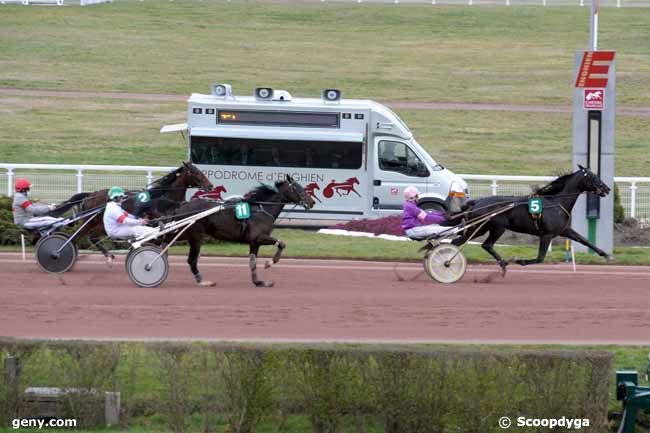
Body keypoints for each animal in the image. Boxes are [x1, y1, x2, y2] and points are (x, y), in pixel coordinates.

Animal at [161, 176, 314, 286]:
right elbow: (281, 243)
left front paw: (259, 282)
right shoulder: (259, 237)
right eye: (297, 188)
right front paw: (269, 263)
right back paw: (202, 281)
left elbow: (252, 262)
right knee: (191, 260)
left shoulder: (254, 242)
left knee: (166, 241)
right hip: (196, 236)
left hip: (184, 233)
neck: (261, 210)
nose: (312, 202)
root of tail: (181, 206)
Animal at [448, 165, 612, 274]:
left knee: (458, 241)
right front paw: (519, 261)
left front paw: (605, 254)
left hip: (480, 228)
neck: (556, 202)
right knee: (486, 245)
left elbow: (584, 240)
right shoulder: (546, 234)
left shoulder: (564, 230)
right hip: (497, 227)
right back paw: (502, 263)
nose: (608, 189)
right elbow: (540, 258)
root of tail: (476, 202)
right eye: (594, 177)